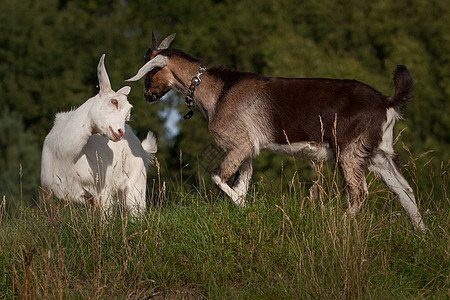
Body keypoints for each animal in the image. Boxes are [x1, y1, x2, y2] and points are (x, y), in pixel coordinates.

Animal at [40, 54, 156, 216]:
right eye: (114, 101)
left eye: (127, 115)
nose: (120, 132)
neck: (64, 155)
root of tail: (143, 149)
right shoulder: (50, 195)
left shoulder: (102, 190)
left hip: (137, 184)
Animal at [126, 31, 426, 231]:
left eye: (150, 71)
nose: (148, 96)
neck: (219, 92)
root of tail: (387, 102)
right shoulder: (248, 149)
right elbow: (242, 183)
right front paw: (244, 209)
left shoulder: (239, 144)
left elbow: (217, 176)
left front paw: (244, 207)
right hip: (379, 153)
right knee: (406, 192)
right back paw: (422, 237)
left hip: (350, 150)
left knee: (359, 192)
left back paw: (341, 225)